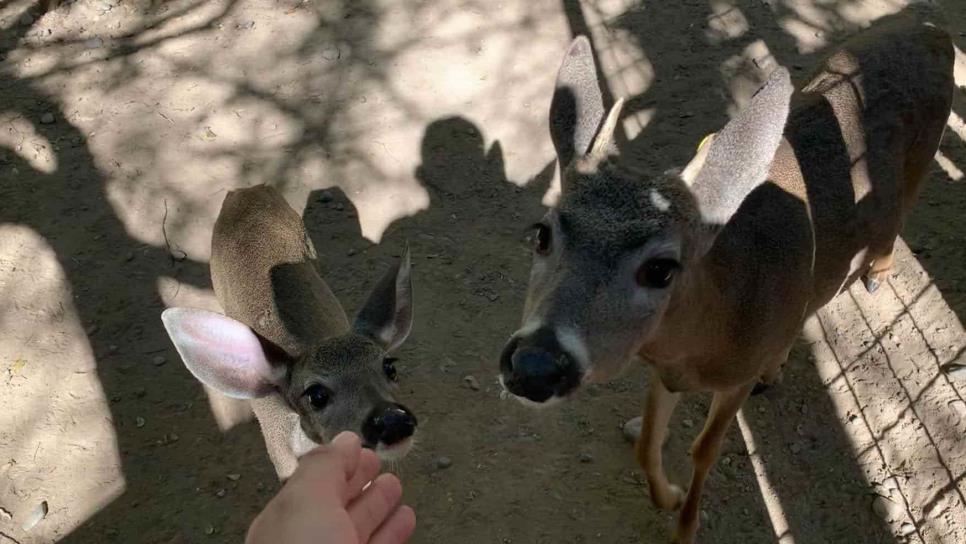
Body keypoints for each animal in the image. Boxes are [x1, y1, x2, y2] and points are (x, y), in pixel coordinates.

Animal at [502, 18, 956, 544]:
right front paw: (669, 494)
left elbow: (704, 449)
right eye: (542, 233)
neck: (712, 332)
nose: (534, 365)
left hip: (923, 159)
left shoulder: (734, 378)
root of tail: (935, 29)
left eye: (661, 268)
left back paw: (875, 276)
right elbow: (647, 442)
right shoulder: (665, 370)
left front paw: (684, 527)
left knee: (895, 221)